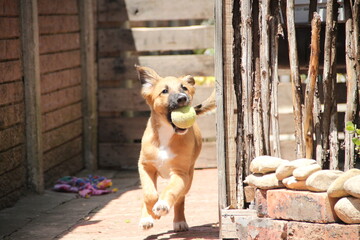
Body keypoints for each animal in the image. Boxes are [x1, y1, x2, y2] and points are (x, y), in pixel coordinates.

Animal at [135, 66, 214, 232]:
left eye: (184, 88)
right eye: (164, 91)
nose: (182, 98)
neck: (166, 134)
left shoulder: (180, 173)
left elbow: (171, 190)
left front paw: (161, 207)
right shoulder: (145, 166)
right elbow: (149, 194)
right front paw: (150, 213)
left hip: (189, 177)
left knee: (180, 198)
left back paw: (179, 221)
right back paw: (146, 218)